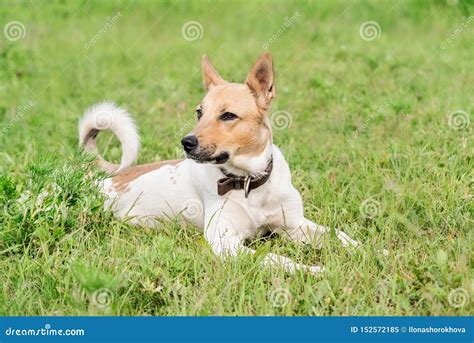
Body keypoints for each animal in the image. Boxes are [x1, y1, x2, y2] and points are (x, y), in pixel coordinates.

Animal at [79, 53, 358, 274]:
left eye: (228, 116)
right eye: (199, 113)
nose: (186, 142)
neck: (248, 182)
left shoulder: (295, 225)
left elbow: (338, 235)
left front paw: (364, 252)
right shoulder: (225, 243)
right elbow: (274, 258)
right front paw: (312, 270)